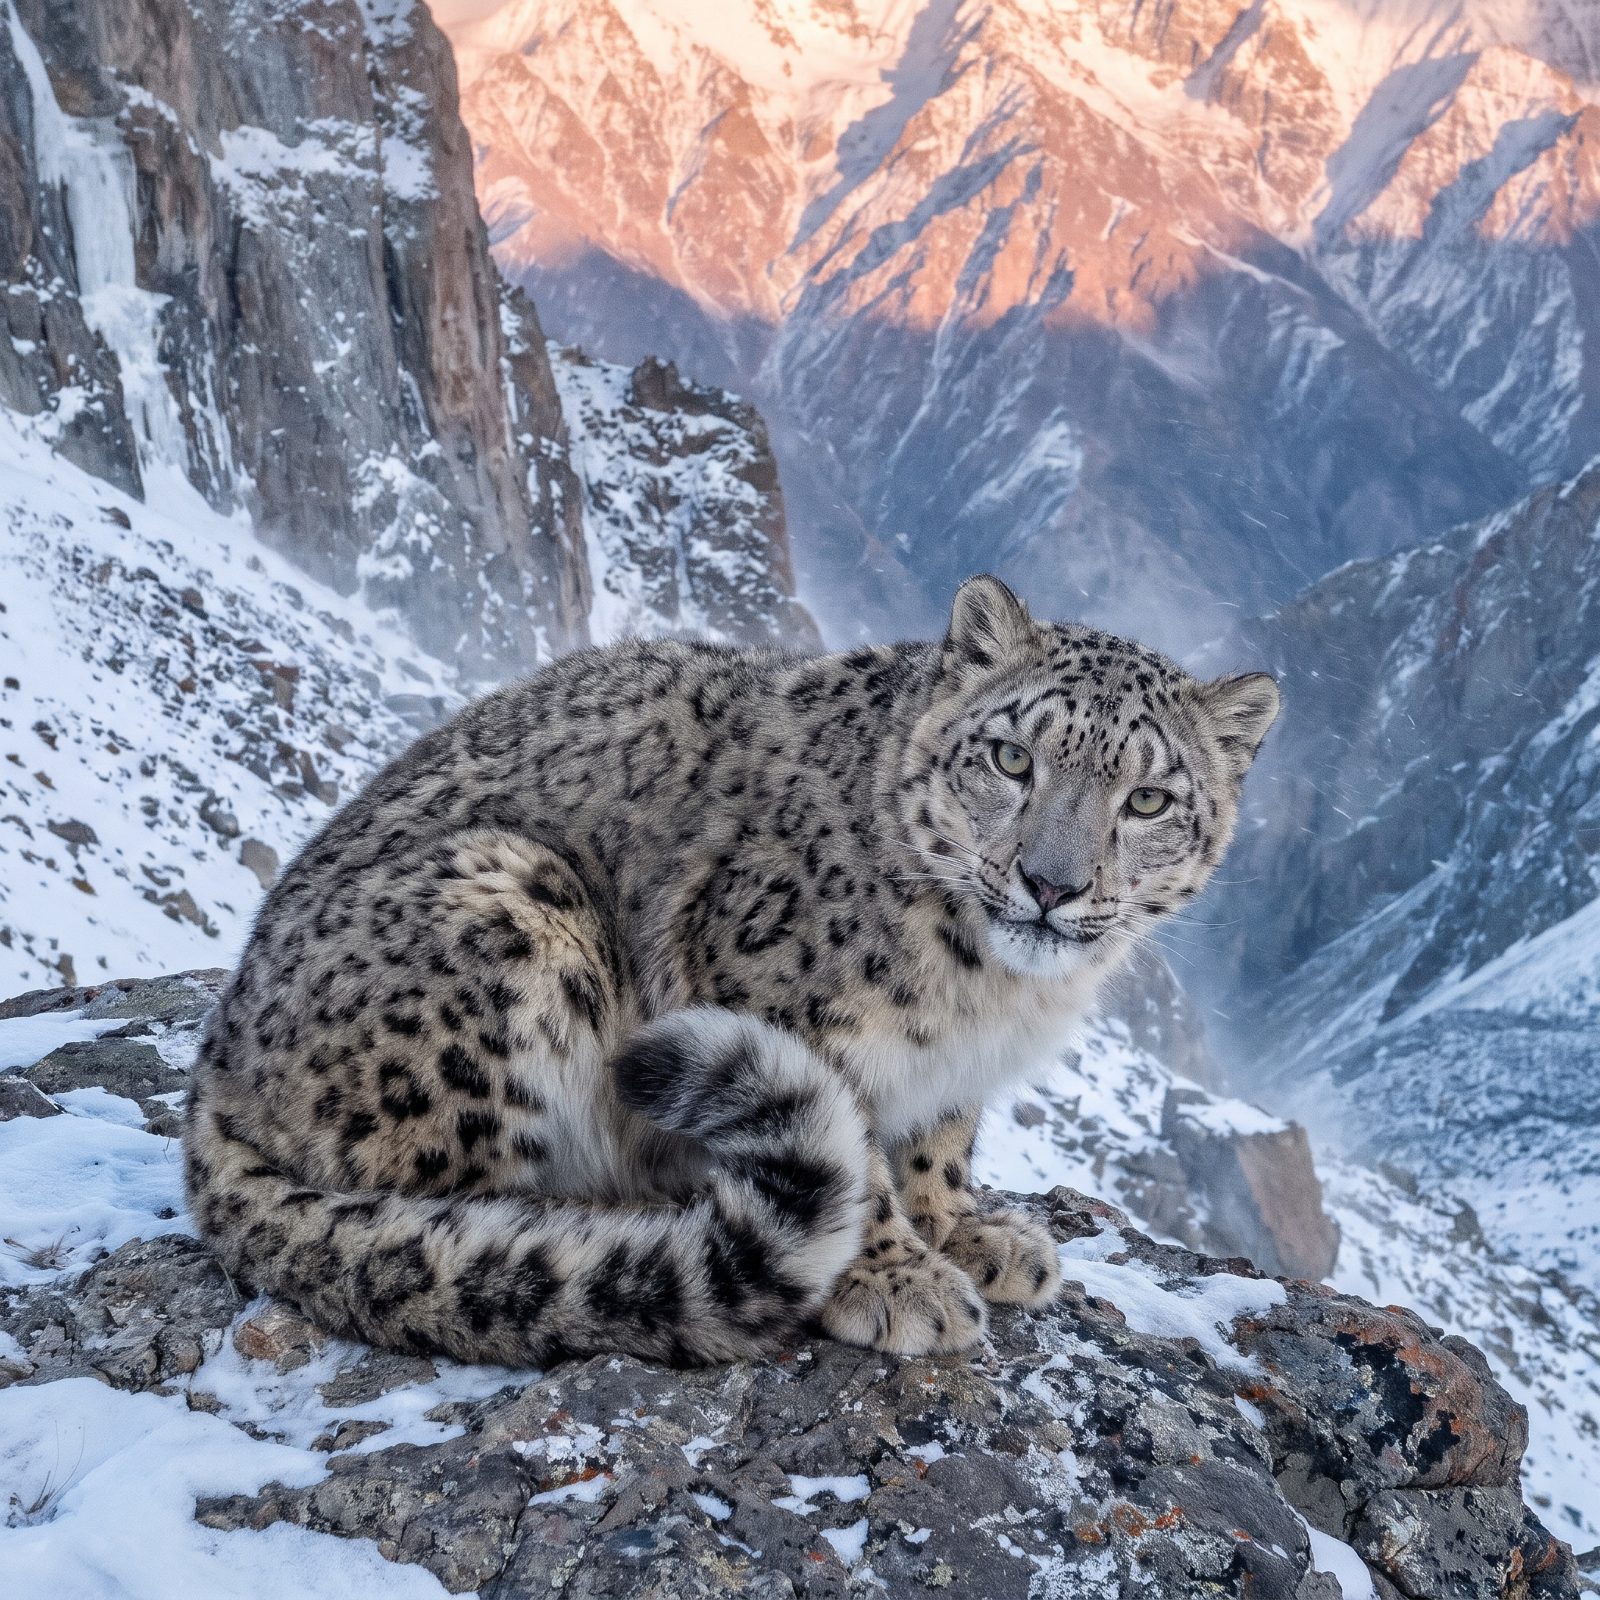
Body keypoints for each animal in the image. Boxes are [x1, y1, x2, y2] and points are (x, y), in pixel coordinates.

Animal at [185, 574, 1279, 1366]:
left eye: (1146, 799)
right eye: (1012, 758)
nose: (1052, 883)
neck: (992, 995)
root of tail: (216, 1069)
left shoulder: (953, 1077)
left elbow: (937, 1143)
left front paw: (968, 1232)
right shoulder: (778, 1002)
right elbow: (860, 1156)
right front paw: (897, 1280)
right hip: (517, 908)